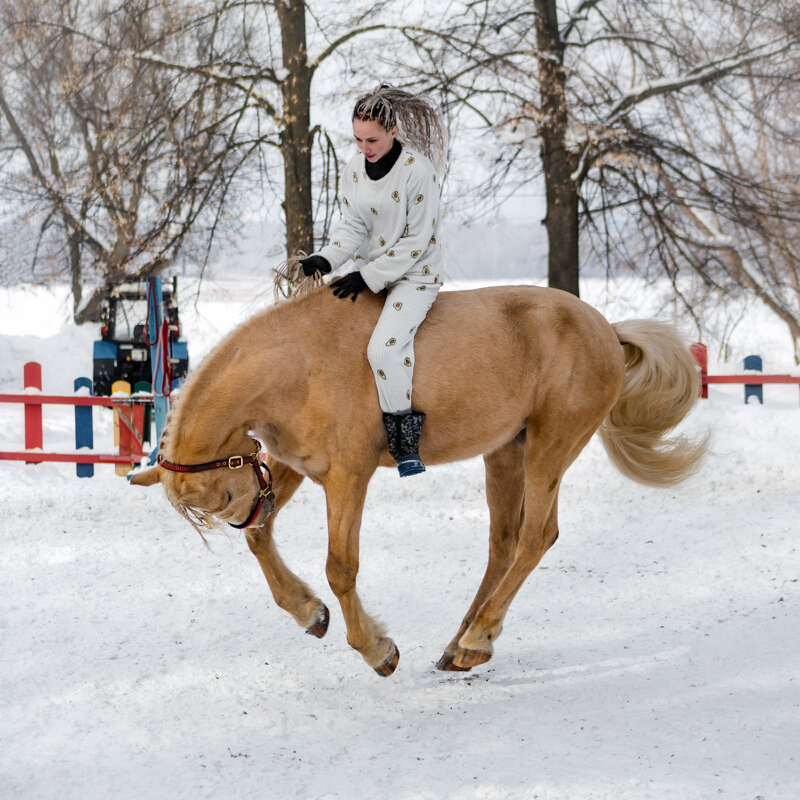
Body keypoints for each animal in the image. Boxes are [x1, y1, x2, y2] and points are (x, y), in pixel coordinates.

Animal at [131, 286, 708, 676]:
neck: (298, 365)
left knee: (536, 537)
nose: (258, 504)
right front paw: (308, 612)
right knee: (503, 544)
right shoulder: (294, 463)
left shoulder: (347, 478)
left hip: (551, 446)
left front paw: (376, 650)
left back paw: (477, 639)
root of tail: (605, 327)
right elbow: (260, 541)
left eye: (226, 495)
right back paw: (462, 646)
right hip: (506, 451)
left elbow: (340, 568)